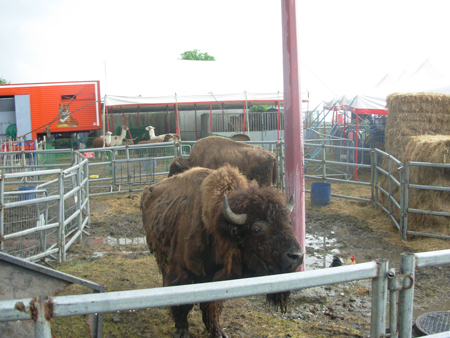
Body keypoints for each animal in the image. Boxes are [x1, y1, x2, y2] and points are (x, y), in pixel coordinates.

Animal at [141, 165, 302, 336]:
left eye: (288, 222)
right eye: (256, 229)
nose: (296, 256)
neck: (217, 228)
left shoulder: (218, 279)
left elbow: (212, 305)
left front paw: (218, 332)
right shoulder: (180, 273)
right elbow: (181, 305)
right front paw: (182, 331)